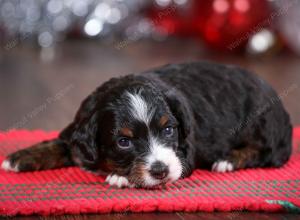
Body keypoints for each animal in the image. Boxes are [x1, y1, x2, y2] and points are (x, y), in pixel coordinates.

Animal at [1, 61, 292, 187]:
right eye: (124, 141)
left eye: (168, 130)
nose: (160, 171)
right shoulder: (77, 132)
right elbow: (60, 143)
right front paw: (19, 157)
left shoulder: (185, 154)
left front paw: (120, 177)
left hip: (262, 122)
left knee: (267, 152)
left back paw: (228, 160)